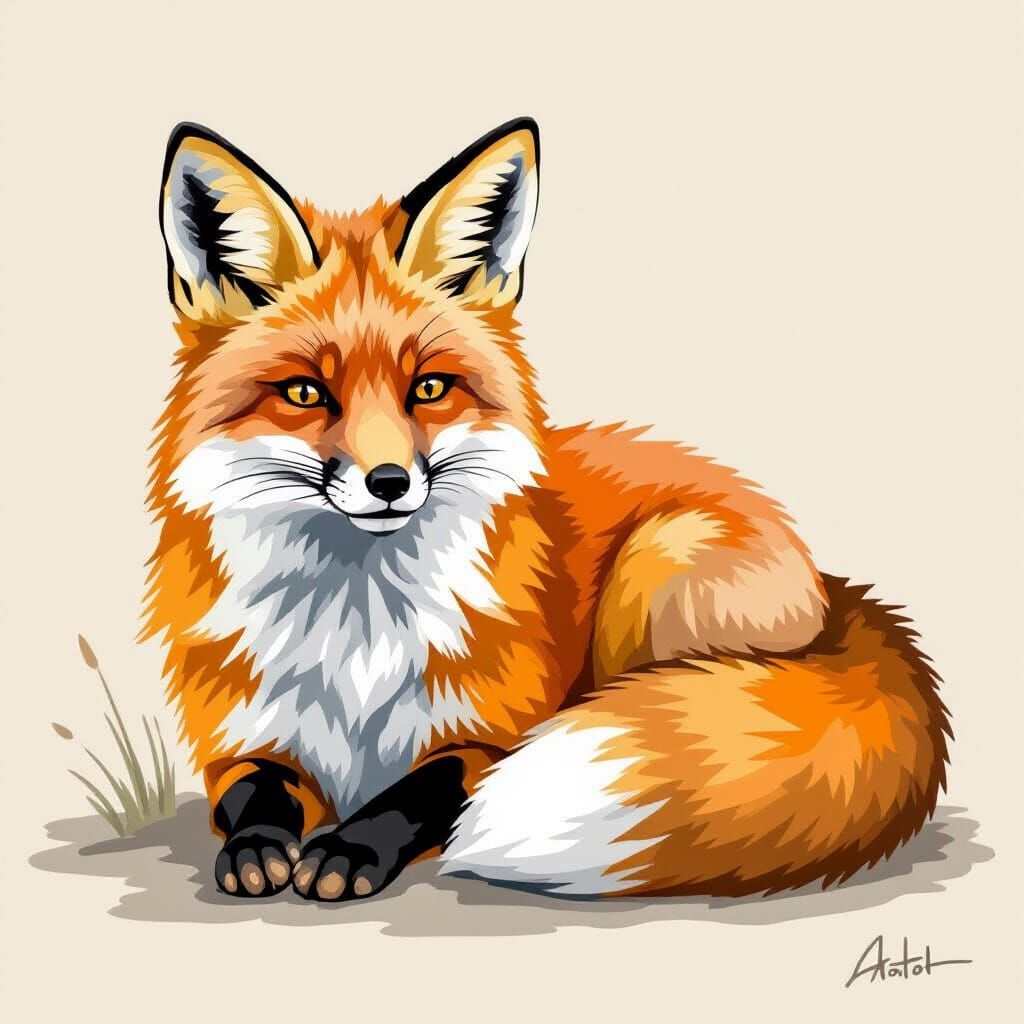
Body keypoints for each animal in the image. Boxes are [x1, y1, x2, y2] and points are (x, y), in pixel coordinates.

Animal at [147, 117, 950, 902]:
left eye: (429, 389)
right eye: (305, 393)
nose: (389, 482)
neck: (357, 635)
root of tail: (836, 593)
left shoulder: (491, 738)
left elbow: (417, 792)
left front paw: (349, 849)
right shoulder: (238, 739)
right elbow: (253, 794)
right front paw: (258, 849)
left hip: (658, 565)